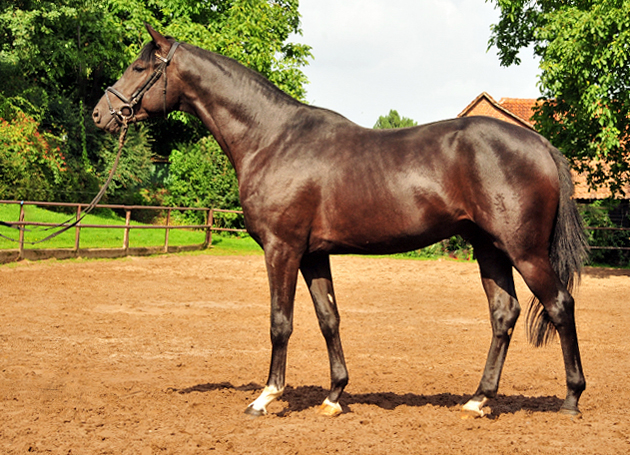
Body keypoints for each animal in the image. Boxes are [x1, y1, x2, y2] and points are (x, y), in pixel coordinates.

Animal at [94, 24, 592, 416]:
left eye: (138, 67)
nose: (101, 113)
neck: (271, 138)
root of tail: (539, 145)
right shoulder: (313, 255)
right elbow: (328, 318)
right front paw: (334, 395)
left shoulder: (282, 248)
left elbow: (280, 321)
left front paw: (266, 396)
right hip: (489, 249)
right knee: (503, 314)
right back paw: (478, 399)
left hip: (524, 251)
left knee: (560, 305)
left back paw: (570, 399)